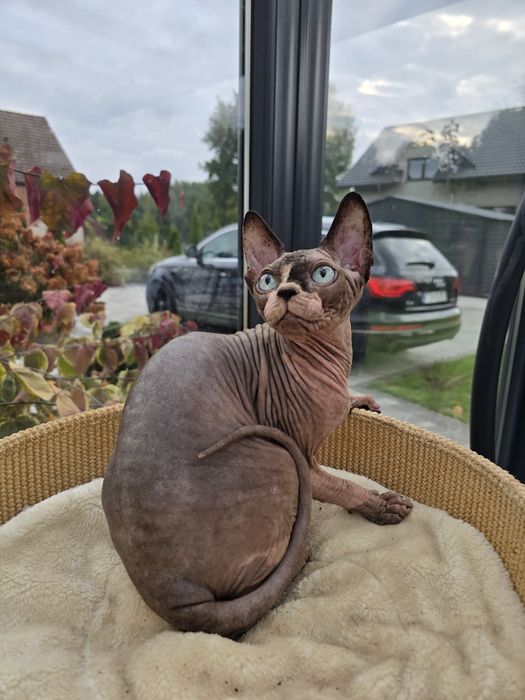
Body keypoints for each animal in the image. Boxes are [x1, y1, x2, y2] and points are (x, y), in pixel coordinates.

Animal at [102, 192, 412, 638]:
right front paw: (383, 506)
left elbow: (349, 404)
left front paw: (362, 399)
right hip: (280, 459)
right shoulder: (306, 462)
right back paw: (300, 561)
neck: (332, 360)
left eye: (322, 274)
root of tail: (175, 599)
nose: (284, 291)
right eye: (266, 281)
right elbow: (344, 487)